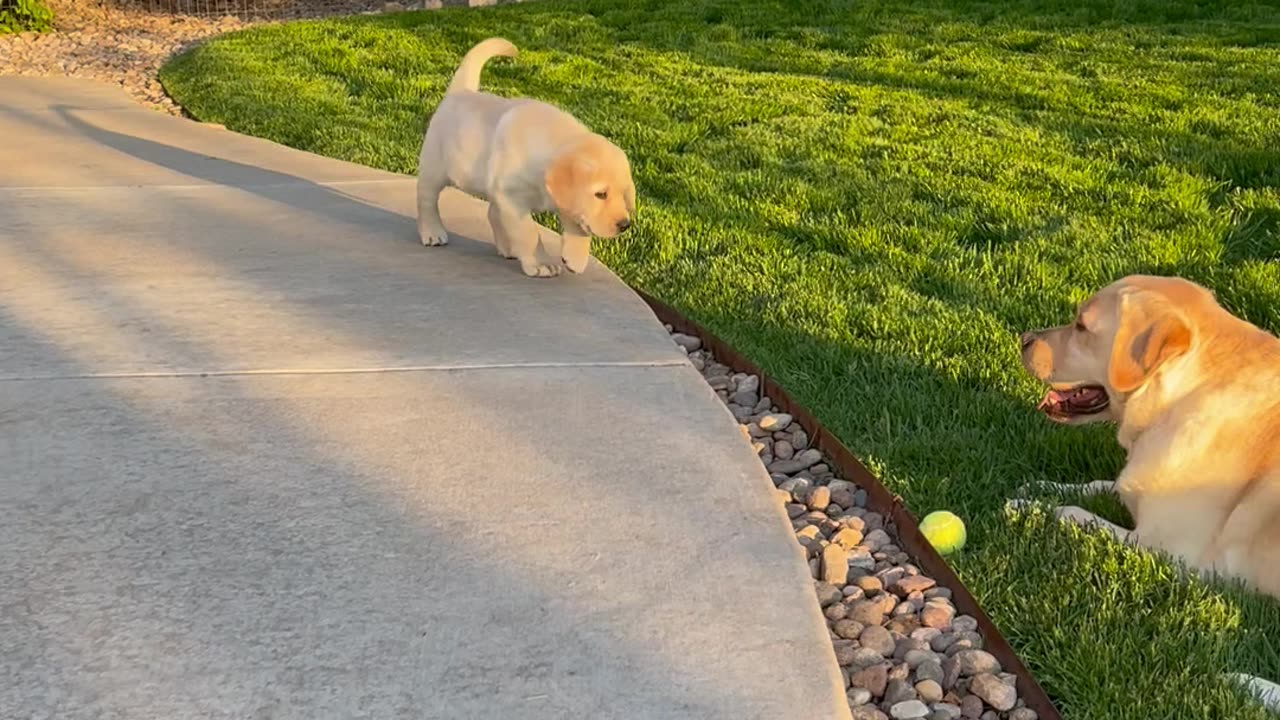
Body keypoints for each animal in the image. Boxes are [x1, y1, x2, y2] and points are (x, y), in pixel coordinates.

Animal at [419, 36, 634, 278]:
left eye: (623, 193)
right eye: (600, 194)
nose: (624, 225)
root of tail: (459, 92)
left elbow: (578, 221)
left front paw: (576, 257)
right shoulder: (511, 196)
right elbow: (529, 232)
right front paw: (541, 263)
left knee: (493, 213)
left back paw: (507, 247)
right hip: (434, 168)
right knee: (427, 200)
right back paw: (432, 232)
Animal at [1013, 274, 1274, 712]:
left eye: (1081, 326)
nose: (1024, 338)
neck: (1179, 399)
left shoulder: (1171, 552)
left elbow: (1075, 512)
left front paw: (1030, 506)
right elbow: (1098, 485)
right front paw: (1040, 485)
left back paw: (1249, 685)